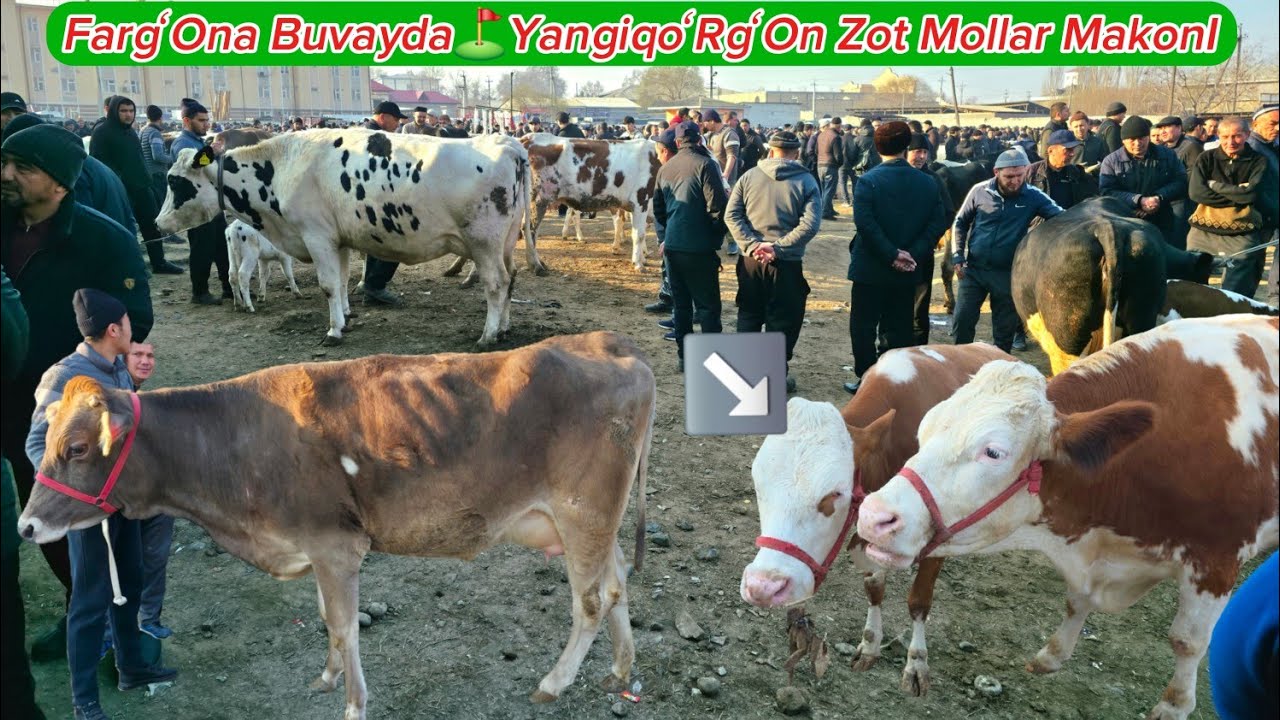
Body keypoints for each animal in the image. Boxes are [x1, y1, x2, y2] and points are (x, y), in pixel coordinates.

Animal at [17, 332, 657, 720]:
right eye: (44, 436)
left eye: (78, 447)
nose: (24, 525)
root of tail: (610, 343)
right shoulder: (316, 550)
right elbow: (328, 619)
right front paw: (326, 678)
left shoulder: (336, 544)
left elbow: (347, 627)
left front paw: (353, 702)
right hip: (597, 519)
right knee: (618, 583)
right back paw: (621, 670)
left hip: (583, 511)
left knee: (590, 601)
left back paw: (554, 682)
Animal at [155, 129, 531, 347]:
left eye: (174, 181)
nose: (158, 223)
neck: (283, 166)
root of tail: (508, 143)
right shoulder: (340, 239)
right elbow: (343, 279)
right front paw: (346, 318)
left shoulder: (317, 235)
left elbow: (327, 285)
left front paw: (333, 331)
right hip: (506, 242)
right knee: (512, 279)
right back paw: (504, 329)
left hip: (484, 242)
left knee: (497, 284)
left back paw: (487, 336)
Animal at [740, 343, 1013, 696]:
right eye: (758, 485)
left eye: (835, 494)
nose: (763, 587)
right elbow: (874, 587)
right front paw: (870, 645)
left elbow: (919, 601)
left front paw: (917, 664)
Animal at [857, 315, 1279, 720]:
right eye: (924, 430)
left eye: (994, 452)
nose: (874, 515)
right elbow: (1076, 601)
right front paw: (1052, 654)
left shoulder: (1216, 561)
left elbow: (1187, 640)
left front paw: (1173, 706)